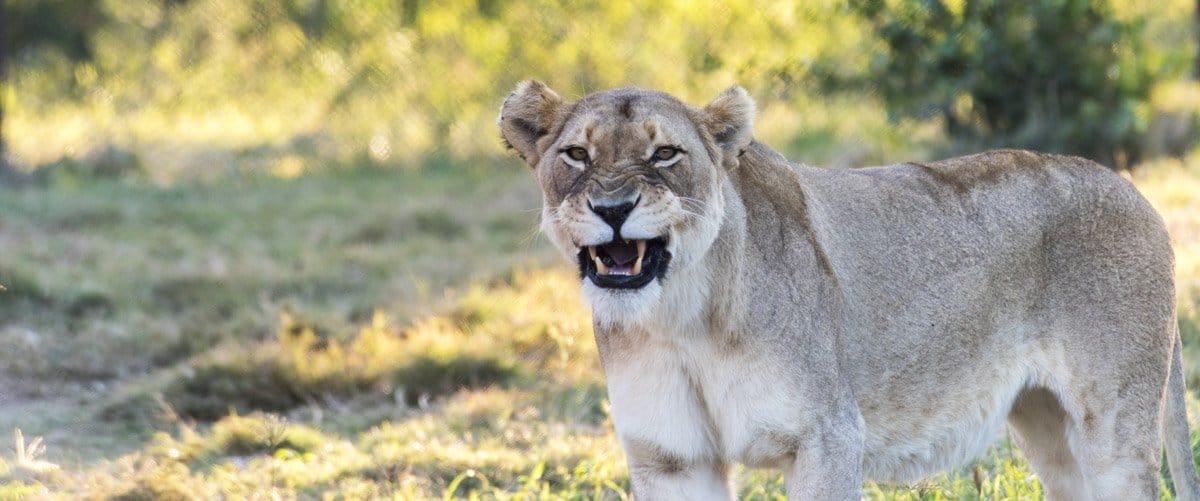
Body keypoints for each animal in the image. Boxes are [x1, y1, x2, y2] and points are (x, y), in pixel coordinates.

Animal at [494, 80, 1200, 498]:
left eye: (665, 153)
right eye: (577, 156)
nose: (613, 207)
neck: (682, 317)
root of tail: (1134, 191)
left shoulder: (828, 437)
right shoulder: (670, 458)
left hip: (1115, 431)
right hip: (1048, 424)